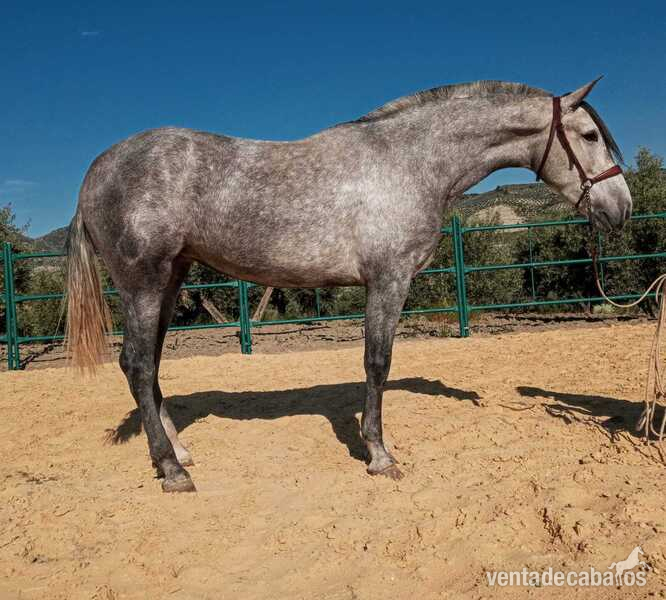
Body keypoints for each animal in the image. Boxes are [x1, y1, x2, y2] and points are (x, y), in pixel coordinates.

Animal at [64, 78, 632, 492]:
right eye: (589, 136)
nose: (622, 208)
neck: (410, 162)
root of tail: (97, 171)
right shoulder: (388, 280)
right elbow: (377, 364)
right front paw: (379, 454)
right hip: (144, 282)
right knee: (138, 365)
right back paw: (173, 471)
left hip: (171, 280)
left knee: (149, 367)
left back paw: (179, 452)